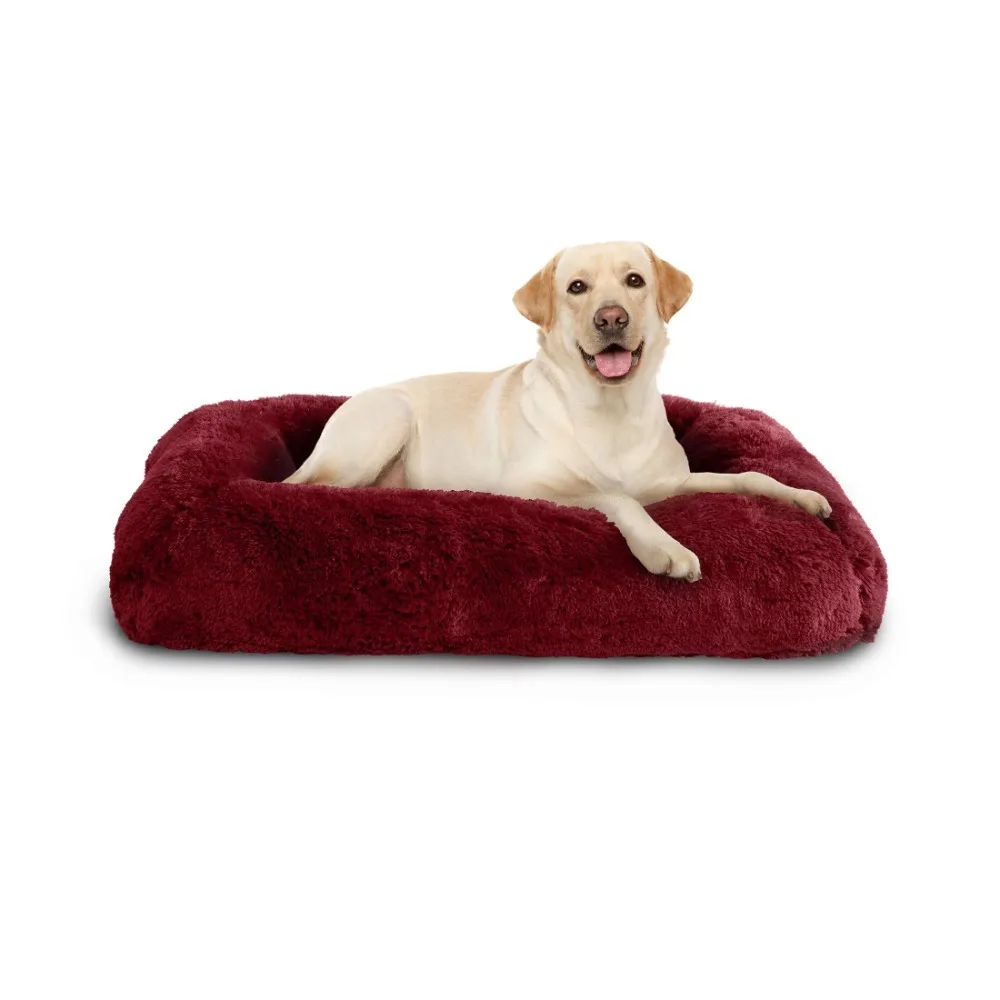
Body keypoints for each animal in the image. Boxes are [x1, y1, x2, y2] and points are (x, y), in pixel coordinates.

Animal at [285, 242, 831, 579]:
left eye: (635, 280)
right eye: (577, 287)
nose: (611, 318)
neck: (611, 411)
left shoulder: (673, 484)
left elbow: (750, 476)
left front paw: (803, 496)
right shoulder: (528, 489)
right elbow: (617, 497)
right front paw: (664, 548)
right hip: (385, 419)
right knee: (316, 490)